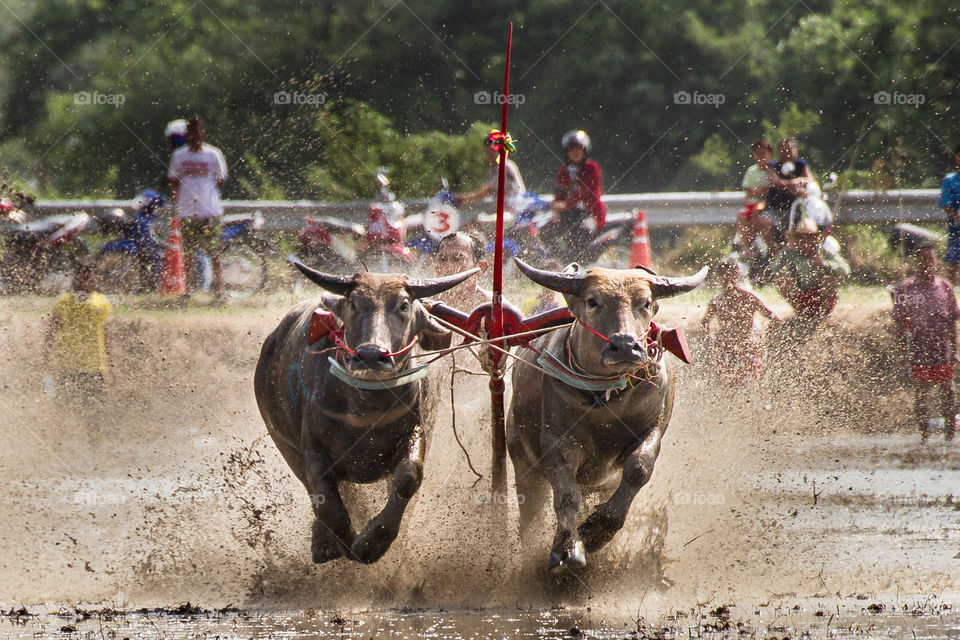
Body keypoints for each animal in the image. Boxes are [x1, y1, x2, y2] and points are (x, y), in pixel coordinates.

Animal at [255, 260, 480, 564]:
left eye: (404, 305)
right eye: (353, 303)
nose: (372, 354)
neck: (366, 407)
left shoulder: (417, 431)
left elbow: (408, 476)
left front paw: (372, 543)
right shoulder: (311, 446)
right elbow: (326, 499)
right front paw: (340, 542)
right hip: (284, 442)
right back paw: (324, 541)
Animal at [510, 258, 704, 572]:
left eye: (645, 302)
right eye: (592, 301)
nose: (625, 345)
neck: (606, 401)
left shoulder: (652, 429)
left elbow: (639, 469)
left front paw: (595, 532)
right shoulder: (557, 442)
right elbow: (566, 494)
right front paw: (568, 548)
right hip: (521, 458)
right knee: (531, 510)